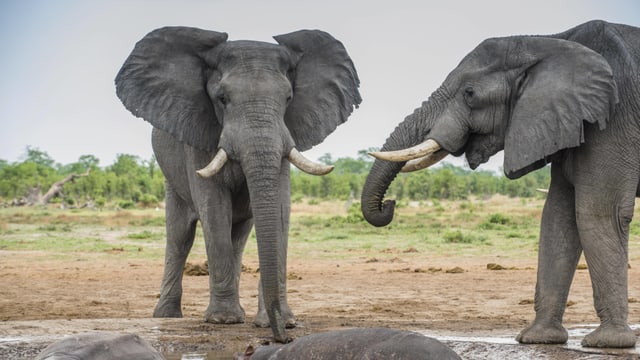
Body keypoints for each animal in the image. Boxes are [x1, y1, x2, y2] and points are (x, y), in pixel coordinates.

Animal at [115, 26, 362, 342]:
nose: (282, 337)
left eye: (288, 98)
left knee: (239, 234)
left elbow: (280, 211)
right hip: (171, 177)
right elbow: (214, 209)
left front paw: (280, 320)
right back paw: (167, 316)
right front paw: (223, 320)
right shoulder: (200, 133)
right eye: (222, 99)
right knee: (180, 235)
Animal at [362, 19, 636, 348]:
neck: (549, 41)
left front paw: (607, 343)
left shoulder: (613, 118)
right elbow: (558, 216)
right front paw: (537, 339)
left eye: (470, 94)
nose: (390, 204)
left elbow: (599, 213)